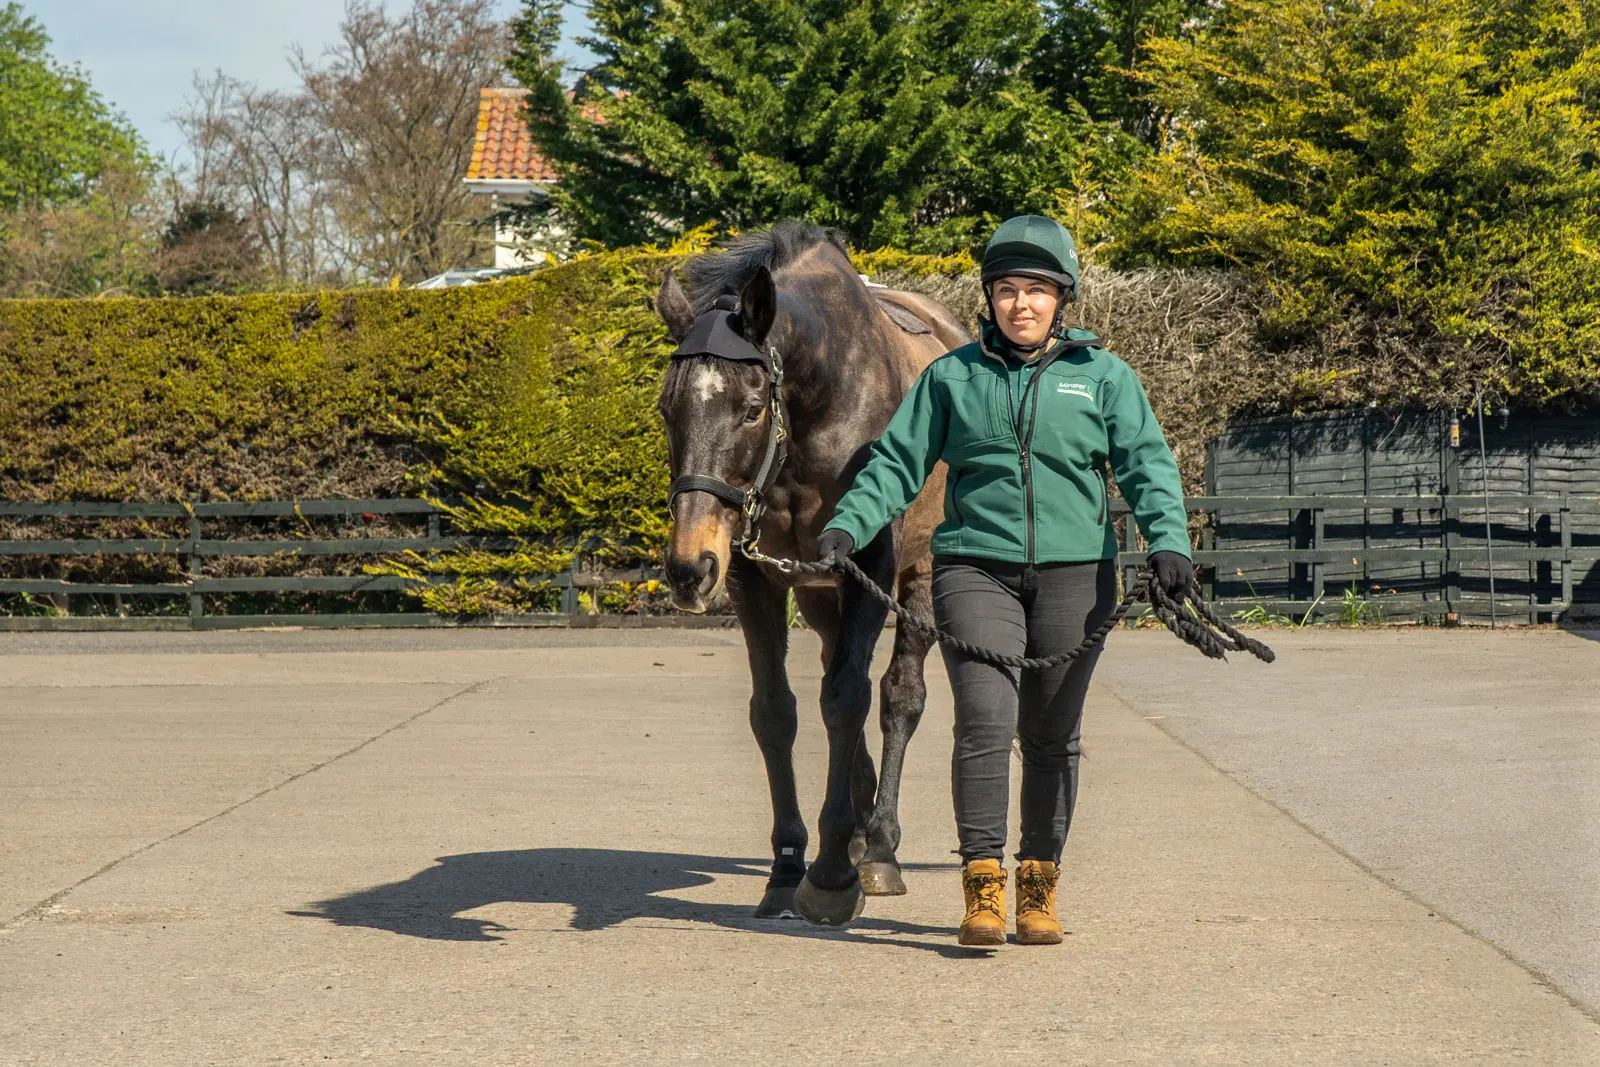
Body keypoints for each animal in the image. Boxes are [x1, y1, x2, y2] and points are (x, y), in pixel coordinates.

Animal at [656, 225, 966, 927]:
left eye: (750, 409)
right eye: (666, 410)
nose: (690, 568)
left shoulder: (869, 566)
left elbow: (852, 698)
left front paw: (830, 877)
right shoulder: (755, 576)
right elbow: (778, 711)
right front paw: (788, 864)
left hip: (919, 575)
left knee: (896, 696)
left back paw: (877, 845)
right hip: (821, 593)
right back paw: (854, 826)